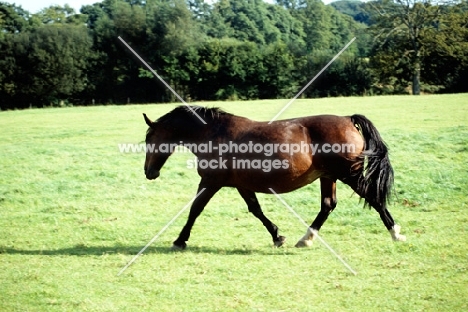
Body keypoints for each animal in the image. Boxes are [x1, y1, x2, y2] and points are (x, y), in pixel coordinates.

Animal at [143, 106, 406, 250]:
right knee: (327, 205)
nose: (149, 172)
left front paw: (180, 239)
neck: (213, 134)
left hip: (349, 174)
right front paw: (277, 236)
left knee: (373, 197)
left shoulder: (210, 182)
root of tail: (347, 120)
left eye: (149, 139)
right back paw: (306, 239)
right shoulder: (241, 184)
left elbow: (195, 209)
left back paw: (396, 233)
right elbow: (256, 210)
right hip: (329, 176)